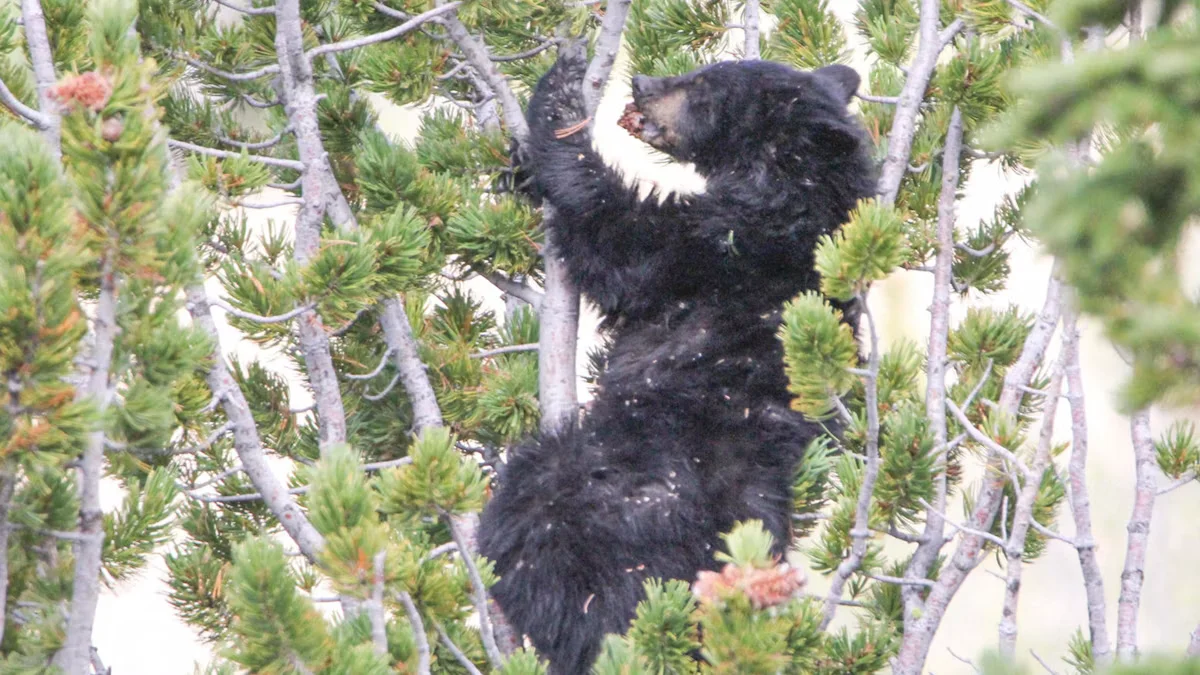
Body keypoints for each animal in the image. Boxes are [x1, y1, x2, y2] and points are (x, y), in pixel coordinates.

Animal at [478, 41, 876, 675]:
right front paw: (518, 162)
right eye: (707, 67)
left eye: (706, 86)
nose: (642, 81)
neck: (805, 201)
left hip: (594, 485)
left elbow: (620, 239)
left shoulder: (723, 246)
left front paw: (562, 97)